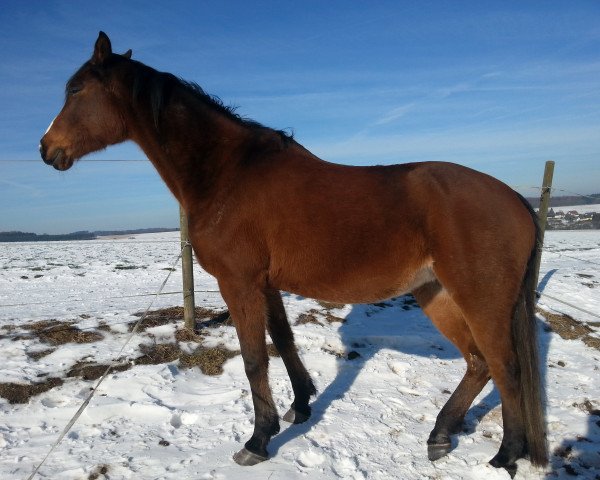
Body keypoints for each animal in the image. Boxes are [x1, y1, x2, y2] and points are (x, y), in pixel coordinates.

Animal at [39, 31, 548, 474]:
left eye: (77, 90)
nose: (46, 149)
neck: (228, 175)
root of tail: (515, 200)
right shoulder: (266, 285)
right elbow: (283, 343)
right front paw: (300, 407)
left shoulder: (239, 283)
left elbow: (254, 359)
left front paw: (257, 441)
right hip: (435, 293)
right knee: (479, 363)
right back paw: (441, 435)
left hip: (480, 299)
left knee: (506, 368)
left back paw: (505, 456)